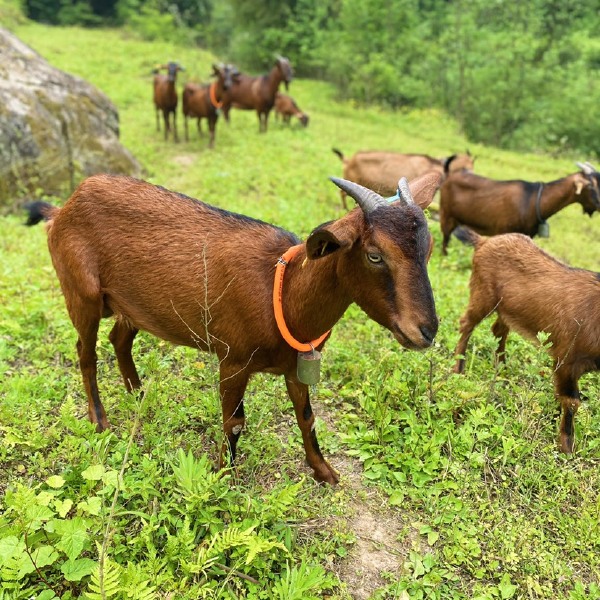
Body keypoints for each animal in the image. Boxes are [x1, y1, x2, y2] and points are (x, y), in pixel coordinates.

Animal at [24, 171, 440, 486]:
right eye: (375, 255)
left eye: (429, 248)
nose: (427, 331)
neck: (283, 293)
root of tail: (63, 207)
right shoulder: (233, 359)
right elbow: (235, 421)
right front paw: (225, 476)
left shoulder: (297, 365)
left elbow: (307, 417)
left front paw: (325, 472)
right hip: (82, 294)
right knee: (86, 351)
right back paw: (100, 419)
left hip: (131, 305)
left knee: (119, 339)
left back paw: (138, 394)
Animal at [436, 161, 600, 254]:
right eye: (591, 185)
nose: (599, 203)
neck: (533, 201)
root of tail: (448, 176)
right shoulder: (504, 230)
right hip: (446, 214)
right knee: (445, 240)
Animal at [454, 227, 600, 452]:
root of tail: (483, 241)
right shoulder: (567, 359)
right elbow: (571, 401)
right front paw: (566, 446)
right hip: (482, 295)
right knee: (466, 324)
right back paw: (458, 368)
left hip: (506, 308)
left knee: (499, 330)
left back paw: (502, 368)